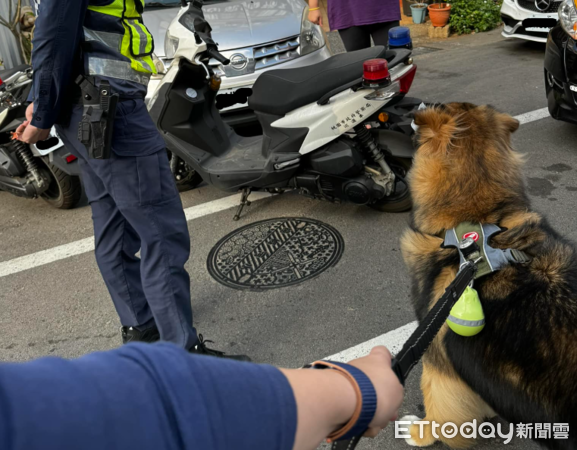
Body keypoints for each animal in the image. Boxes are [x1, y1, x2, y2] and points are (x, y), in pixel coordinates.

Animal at [400, 103, 576, 448]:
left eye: (439, 104)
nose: (414, 107)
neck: (477, 222)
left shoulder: (438, 366)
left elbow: (438, 410)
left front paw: (419, 432)